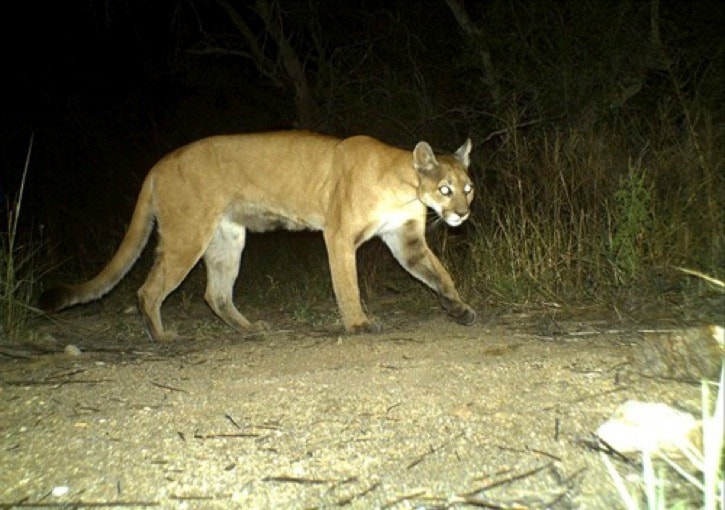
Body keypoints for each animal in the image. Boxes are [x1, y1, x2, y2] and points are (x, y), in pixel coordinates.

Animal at [42, 130, 478, 338]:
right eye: (445, 190)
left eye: (468, 187)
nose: (463, 214)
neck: (403, 186)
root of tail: (159, 164)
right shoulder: (339, 235)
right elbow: (348, 285)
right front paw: (358, 324)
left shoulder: (406, 240)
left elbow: (440, 275)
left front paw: (458, 308)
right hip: (188, 234)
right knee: (148, 290)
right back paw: (163, 337)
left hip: (227, 239)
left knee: (214, 293)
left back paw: (249, 330)